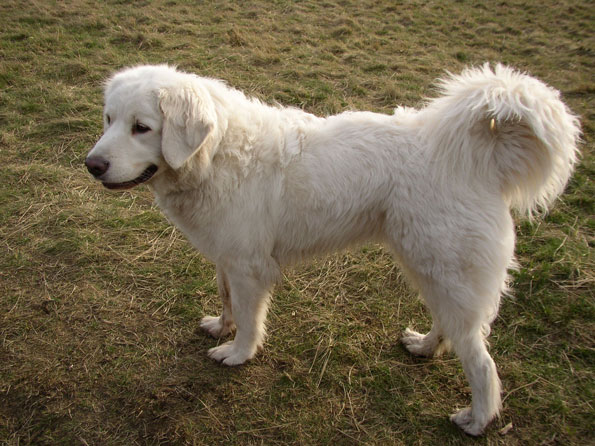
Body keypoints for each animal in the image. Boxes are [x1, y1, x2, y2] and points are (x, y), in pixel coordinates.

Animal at [85, 63, 584, 436]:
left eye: (142, 128)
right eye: (109, 119)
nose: (92, 165)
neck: (215, 152)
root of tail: (472, 155)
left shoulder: (250, 268)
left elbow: (249, 319)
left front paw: (238, 354)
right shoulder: (227, 259)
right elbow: (226, 302)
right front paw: (220, 328)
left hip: (445, 271)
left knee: (481, 362)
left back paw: (477, 420)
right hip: (430, 269)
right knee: (452, 330)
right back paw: (424, 347)